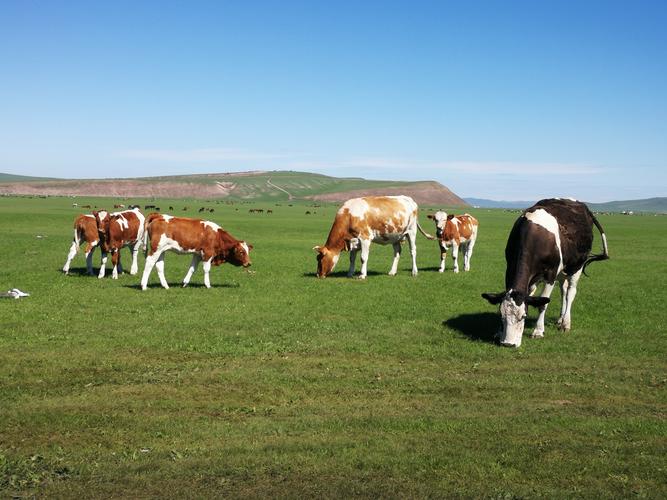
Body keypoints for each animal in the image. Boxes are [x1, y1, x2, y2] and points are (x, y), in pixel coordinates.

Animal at [480, 197, 612, 346]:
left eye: (523, 316)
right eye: (501, 315)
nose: (508, 343)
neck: (535, 237)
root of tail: (582, 206)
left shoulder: (551, 274)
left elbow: (543, 303)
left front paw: (538, 331)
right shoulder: (510, 268)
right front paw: (498, 332)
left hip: (577, 266)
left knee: (570, 292)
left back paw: (565, 323)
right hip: (561, 272)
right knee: (563, 290)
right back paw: (560, 319)